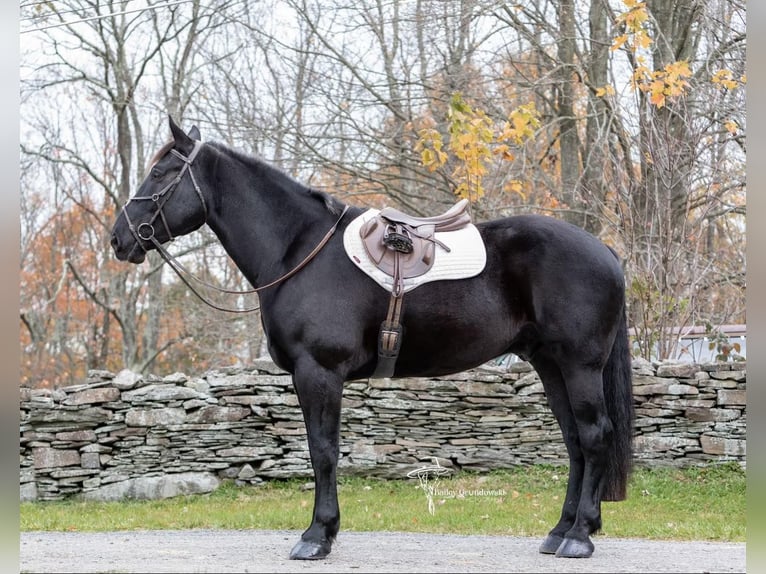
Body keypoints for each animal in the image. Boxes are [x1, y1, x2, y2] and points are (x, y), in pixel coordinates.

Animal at [109, 117, 636, 564]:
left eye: (161, 173)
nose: (119, 239)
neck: (298, 251)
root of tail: (605, 250)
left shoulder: (319, 372)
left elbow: (323, 450)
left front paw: (317, 536)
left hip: (580, 366)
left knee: (594, 436)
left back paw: (580, 536)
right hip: (551, 366)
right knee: (574, 441)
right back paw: (560, 531)